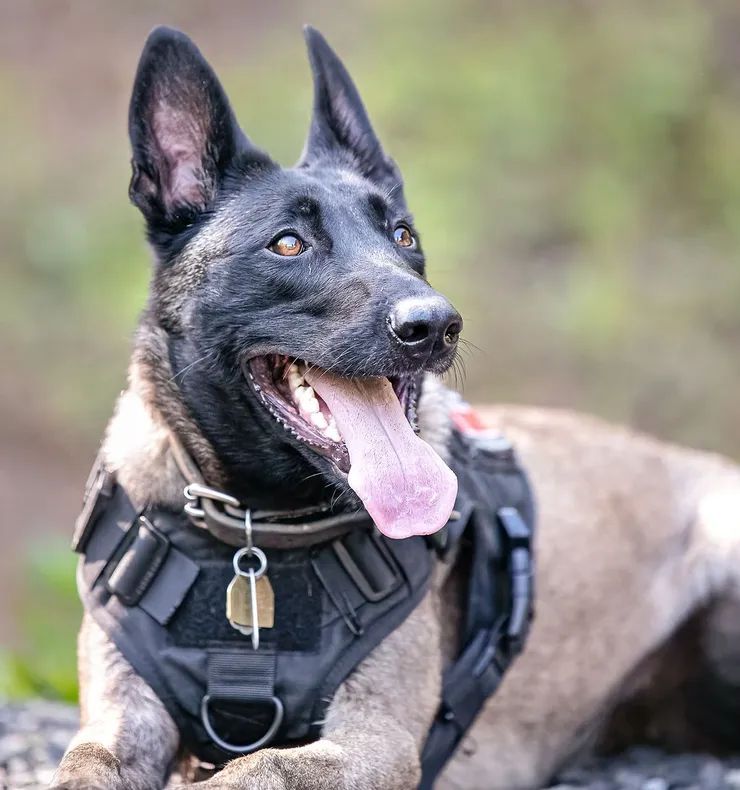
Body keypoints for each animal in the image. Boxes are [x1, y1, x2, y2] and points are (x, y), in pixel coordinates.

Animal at [53, 24, 740, 790]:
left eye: (404, 237)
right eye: (288, 243)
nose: (436, 325)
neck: (257, 532)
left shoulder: (373, 741)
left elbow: (258, 767)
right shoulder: (121, 719)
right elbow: (83, 764)